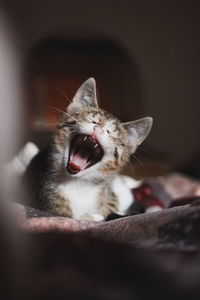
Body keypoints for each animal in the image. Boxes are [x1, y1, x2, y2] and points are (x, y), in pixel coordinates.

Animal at [25, 78, 153, 221]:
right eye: (93, 121)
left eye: (110, 133)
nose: (99, 129)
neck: (77, 184)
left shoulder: (114, 193)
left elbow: (111, 205)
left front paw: (91, 216)